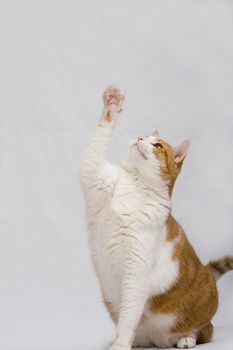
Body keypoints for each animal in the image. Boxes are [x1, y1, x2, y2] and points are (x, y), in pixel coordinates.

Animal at [79, 85, 232, 350]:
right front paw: (112, 101)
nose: (140, 138)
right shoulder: (93, 174)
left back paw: (186, 339)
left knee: (205, 330)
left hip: (201, 316)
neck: (135, 183)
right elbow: (98, 140)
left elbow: (128, 316)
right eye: (144, 136)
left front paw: (120, 344)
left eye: (158, 145)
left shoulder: (136, 274)